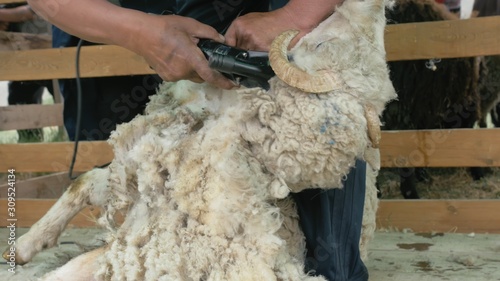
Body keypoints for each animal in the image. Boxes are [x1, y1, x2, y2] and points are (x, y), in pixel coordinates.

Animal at [3, 0, 394, 278]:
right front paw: (24, 246)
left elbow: (76, 265)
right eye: (324, 39)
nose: (377, 1)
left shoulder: (146, 245)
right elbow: (82, 183)